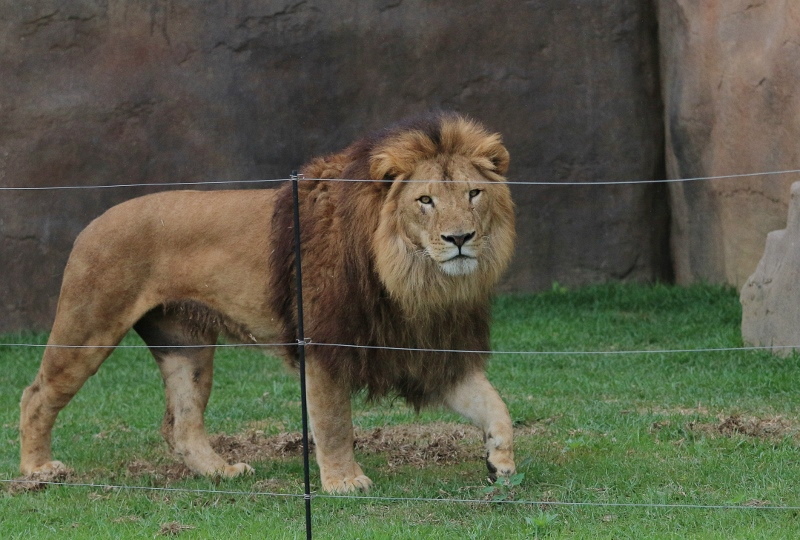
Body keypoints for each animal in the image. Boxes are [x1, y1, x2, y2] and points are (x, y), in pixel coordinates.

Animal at [21, 110, 520, 494]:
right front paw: (344, 482)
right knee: (36, 395)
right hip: (89, 326)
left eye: (473, 193)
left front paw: (501, 463)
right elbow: (334, 421)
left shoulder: (427, 348)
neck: (413, 278)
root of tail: (93, 222)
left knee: (181, 424)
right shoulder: (323, 343)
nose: (460, 239)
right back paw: (38, 471)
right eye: (425, 200)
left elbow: (494, 403)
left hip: (185, 345)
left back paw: (220, 472)